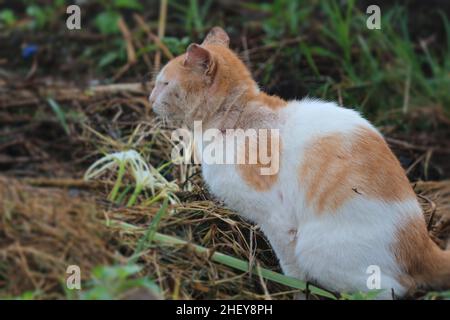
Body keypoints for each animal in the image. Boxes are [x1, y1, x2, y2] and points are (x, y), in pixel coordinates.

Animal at [149, 26, 450, 298]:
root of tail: (424, 244)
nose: (150, 98)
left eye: (164, 84)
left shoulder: (276, 218)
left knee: (395, 288)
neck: (237, 120)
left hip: (317, 251)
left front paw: (291, 290)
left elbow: (291, 268)